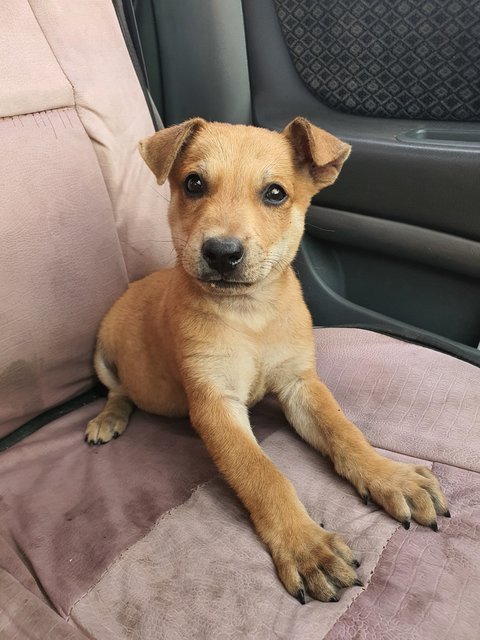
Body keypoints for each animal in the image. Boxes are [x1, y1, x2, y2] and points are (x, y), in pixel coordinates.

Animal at [86, 117, 450, 604]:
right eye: (193, 183)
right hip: (102, 352)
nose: (221, 253)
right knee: (117, 391)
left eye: (275, 193)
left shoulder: (300, 384)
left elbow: (345, 432)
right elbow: (261, 474)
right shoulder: (215, 404)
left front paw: (390, 477)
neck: (250, 314)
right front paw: (305, 545)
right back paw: (109, 418)